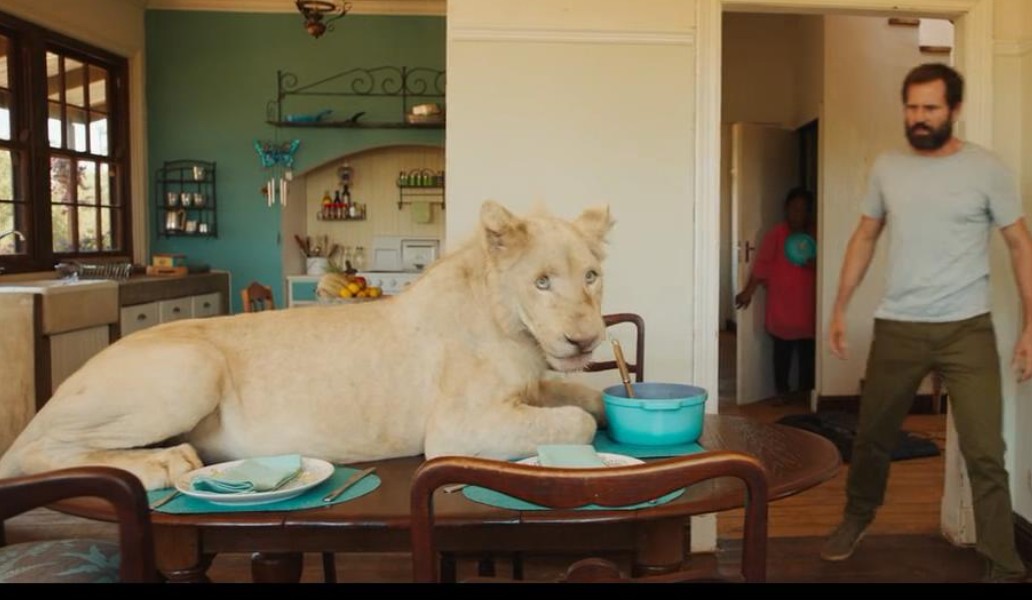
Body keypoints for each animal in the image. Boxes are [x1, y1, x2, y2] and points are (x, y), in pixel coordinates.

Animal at [0, 201, 613, 490]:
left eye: (590, 277)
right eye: (541, 282)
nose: (585, 340)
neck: (513, 326)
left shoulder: (529, 389)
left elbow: (587, 398)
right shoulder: (457, 429)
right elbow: (578, 423)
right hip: (190, 368)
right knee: (31, 452)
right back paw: (163, 462)